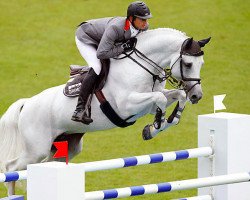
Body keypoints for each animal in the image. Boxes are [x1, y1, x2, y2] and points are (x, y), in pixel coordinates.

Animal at [0, 28, 211, 195]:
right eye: (188, 64)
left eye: (202, 64)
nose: (197, 95)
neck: (141, 67)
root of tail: (26, 104)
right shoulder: (127, 105)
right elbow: (160, 99)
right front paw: (156, 125)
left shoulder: (149, 104)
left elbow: (175, 96)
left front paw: (157, 127)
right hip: (36, 148)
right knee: (12, 167)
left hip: (67, 146)